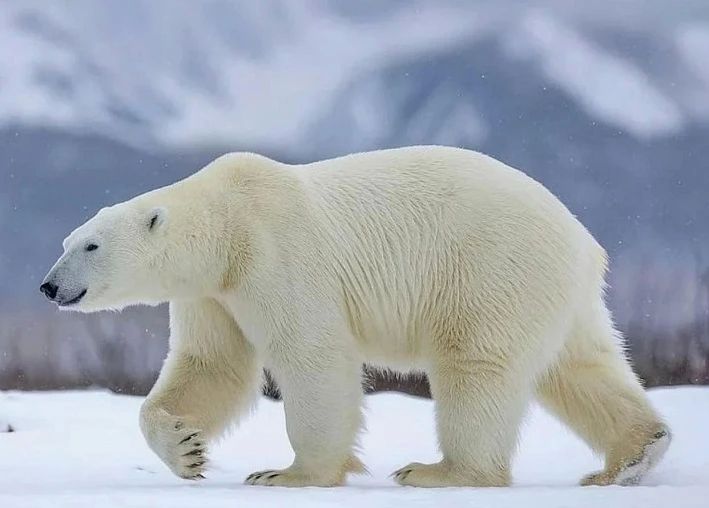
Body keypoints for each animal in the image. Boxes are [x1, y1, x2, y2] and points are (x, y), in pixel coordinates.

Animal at [41, 146, 670, 488]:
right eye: (67, 241)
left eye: (90, 245)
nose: (49, 286)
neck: (228, 222)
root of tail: (583, 241)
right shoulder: (214, 293)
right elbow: (212, 365)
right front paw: (185, 447)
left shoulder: (275, 253)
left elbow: (312, 354)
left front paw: (288, 474)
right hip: (556, 293)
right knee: (581, 366)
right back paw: (631, 458)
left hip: (491, 268)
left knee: (476, 366)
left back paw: (442, 471)